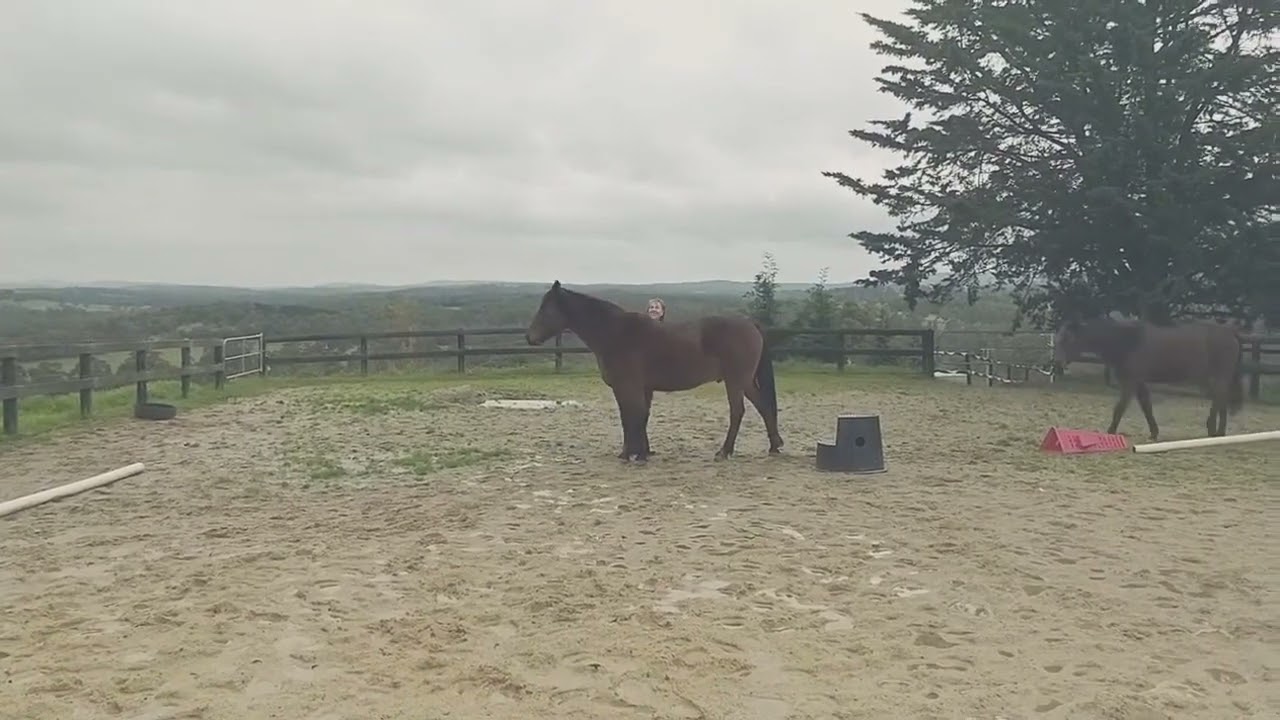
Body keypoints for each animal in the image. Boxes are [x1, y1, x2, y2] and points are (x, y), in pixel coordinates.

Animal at [523, 281, 783, 462]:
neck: (616, 334)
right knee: (763, 406)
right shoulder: (640, 388)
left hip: (735, 381)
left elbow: (631, 416)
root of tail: (750, 324)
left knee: (737, 412)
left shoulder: (626, 386)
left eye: (546, 309)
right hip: (745, 381)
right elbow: (638, 416)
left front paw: (633, 454)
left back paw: (724, 451)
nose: (529, 338)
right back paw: (774, 446)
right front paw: (639, 452)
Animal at [1052, 316, 1245, 440]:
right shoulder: (1139, 382)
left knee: (1219, 398)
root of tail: (1230, 332)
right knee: (1221, 399)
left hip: (1217, 376)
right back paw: (1219, 432)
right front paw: (1154, 433)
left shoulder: (1130, 382)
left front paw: (1110, 431)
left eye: (1068, 339)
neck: (1128, 342)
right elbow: (1147, 406)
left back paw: (1213, 429)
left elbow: (1120, 408)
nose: (1057, 363)